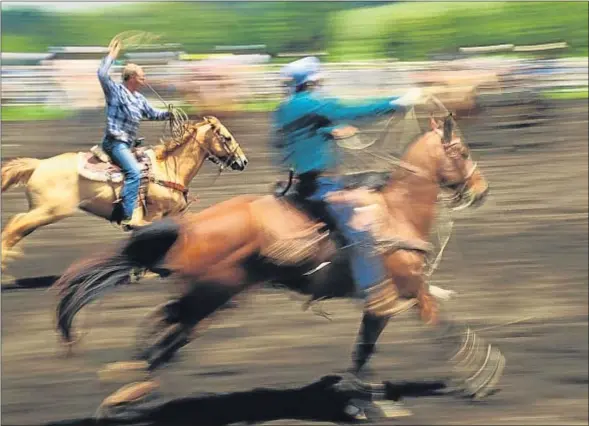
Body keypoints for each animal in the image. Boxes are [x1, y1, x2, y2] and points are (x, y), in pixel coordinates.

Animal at [1, 115, 247, 272]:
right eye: (226, 137)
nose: (243, 161)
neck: (169, 168)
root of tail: (39, 164)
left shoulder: (173, 214)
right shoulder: (153, 215)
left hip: (44, 211)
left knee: (18, 226)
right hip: (50, 210)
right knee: (16, 223)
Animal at [55, 114, 504, 420]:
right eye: (463, 151)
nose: (482, 190)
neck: (397, 212)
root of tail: (189, 226)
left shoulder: (381, 304)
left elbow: (364, 348)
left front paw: (361, 397)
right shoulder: (411, 289)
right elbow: (444, 326)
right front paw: (483, 374)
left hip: (215, 295)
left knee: (163, 330)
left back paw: (128, 385)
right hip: (213, 293)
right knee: (166, 337)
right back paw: (128, 387)